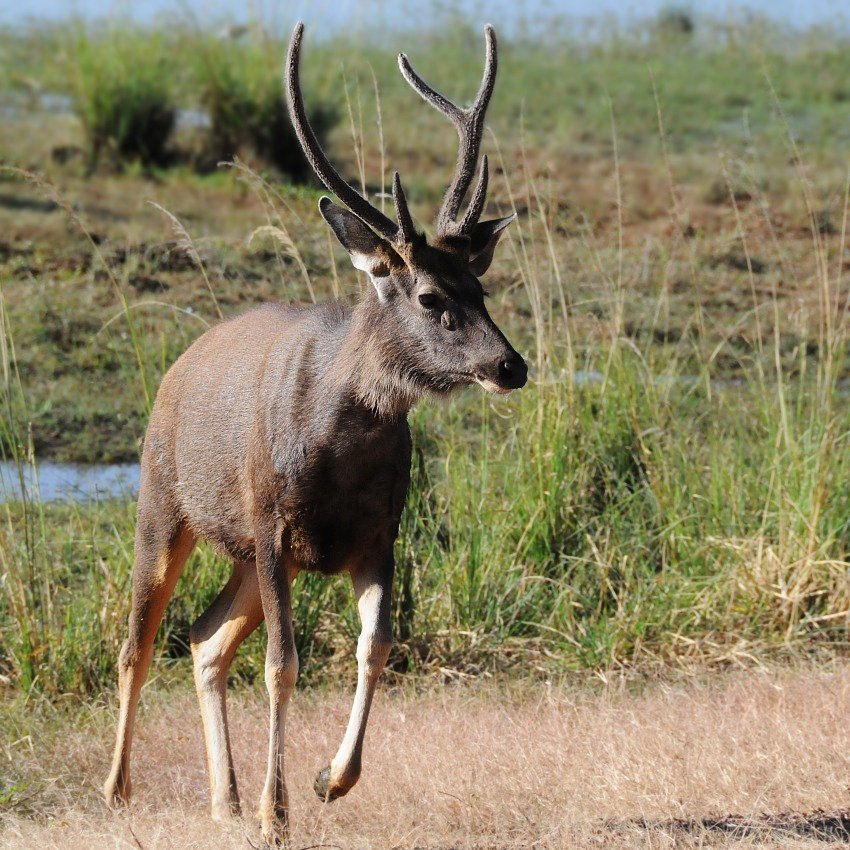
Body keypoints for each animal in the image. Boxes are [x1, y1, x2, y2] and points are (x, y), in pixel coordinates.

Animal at [100, 19, 524, 840]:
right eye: (430, 296)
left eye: (481, 287)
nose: (510, 365)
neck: (339, 448)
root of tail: (177, 366)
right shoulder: (270, 523)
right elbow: (283, 664)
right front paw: (278, 814)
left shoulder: (378, 532)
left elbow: (376, 645)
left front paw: (330, 779)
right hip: (165, 502)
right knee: (139, 640)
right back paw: (118, 791)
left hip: (252, 554)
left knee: (203, 638)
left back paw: (224, 799)